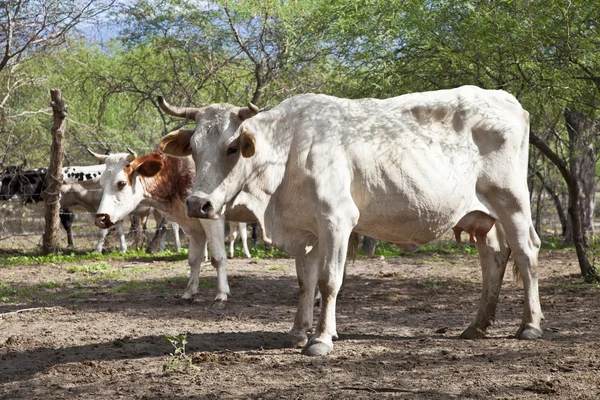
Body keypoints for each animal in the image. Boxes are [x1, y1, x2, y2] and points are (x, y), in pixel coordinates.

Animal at [93, 150, 251, 306]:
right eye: (101, 183)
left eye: (121, 183)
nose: (101, 218)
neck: (176, 171)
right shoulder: (194, 225)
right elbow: (194, 259)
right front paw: (189, 293)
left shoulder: (212, 219)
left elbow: (218, 258)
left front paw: (221, 295)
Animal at [157, 85, 540, 356]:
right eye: (193, 148)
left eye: (232, 148)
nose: (198, 203)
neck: (288, 149)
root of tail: (506, 99)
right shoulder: (305, 229)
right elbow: (305, 282)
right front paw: (297, 332)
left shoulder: (336, 220)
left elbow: (328, 281)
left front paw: (321, 339)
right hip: (482, 216)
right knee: (493, 259)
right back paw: (478, 326)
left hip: (513, 203)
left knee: (526, 254)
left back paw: (530, 325)